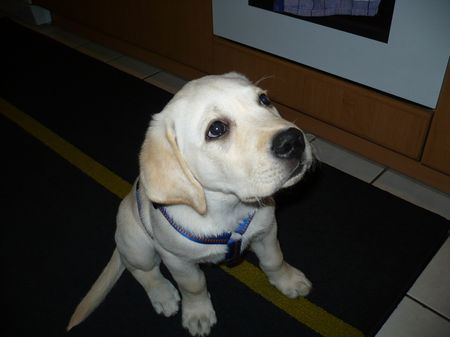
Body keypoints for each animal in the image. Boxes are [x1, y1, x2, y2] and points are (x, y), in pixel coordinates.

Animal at [67, 72, 314, 334]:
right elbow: (194, 286)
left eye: (264, 100)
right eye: (216, 129)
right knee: (139, 268)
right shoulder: (177, 259)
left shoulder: (266, 231)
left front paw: (288, 281)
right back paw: (162, 294)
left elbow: (274, 260)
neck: (228, 208)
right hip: (137, 243)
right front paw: (198, 314)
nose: (294, 141)